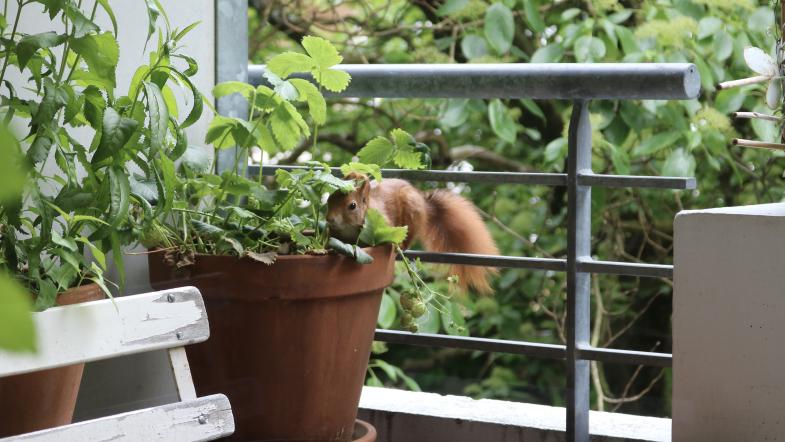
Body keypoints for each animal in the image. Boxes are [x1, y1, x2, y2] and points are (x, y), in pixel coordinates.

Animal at [326, 173, 499, 295]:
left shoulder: (385, 225)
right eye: (329, 198)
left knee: (407, 238)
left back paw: (400, 247)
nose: (329, 219)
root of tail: (424, 203)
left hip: (411, 212)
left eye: (352, 206)